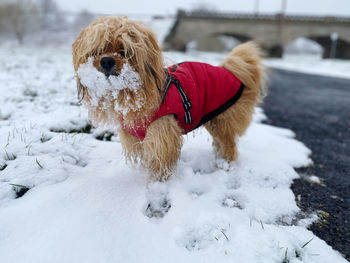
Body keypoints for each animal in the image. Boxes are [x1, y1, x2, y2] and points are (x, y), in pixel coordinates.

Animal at [73, 16, 266, 182]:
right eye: (98, 51)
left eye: (124, 51)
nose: (106, 61)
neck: (134, 94)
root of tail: (233, 71)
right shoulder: (137, 138)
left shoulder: (161, 135)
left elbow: (160, 162)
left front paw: (156, 184)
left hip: (222, 121)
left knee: (229, 146)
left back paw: (226, 165)